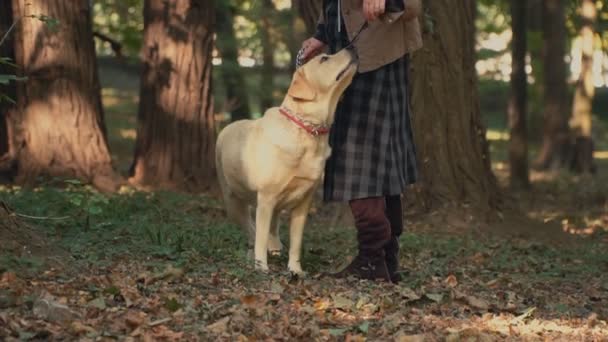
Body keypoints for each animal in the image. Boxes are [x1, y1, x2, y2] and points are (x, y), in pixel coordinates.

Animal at [215, 46, 358, 274]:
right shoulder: (265, 199)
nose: (352, 47)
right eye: (324, 58)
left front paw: (295, 270)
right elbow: (260, 237)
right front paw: (261, 267)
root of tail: (226, 126)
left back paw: (275, 247)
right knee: (251, 230)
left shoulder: (304, 203)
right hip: (233, 201)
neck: (307, 129)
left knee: (270, 228)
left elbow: (296, 242)